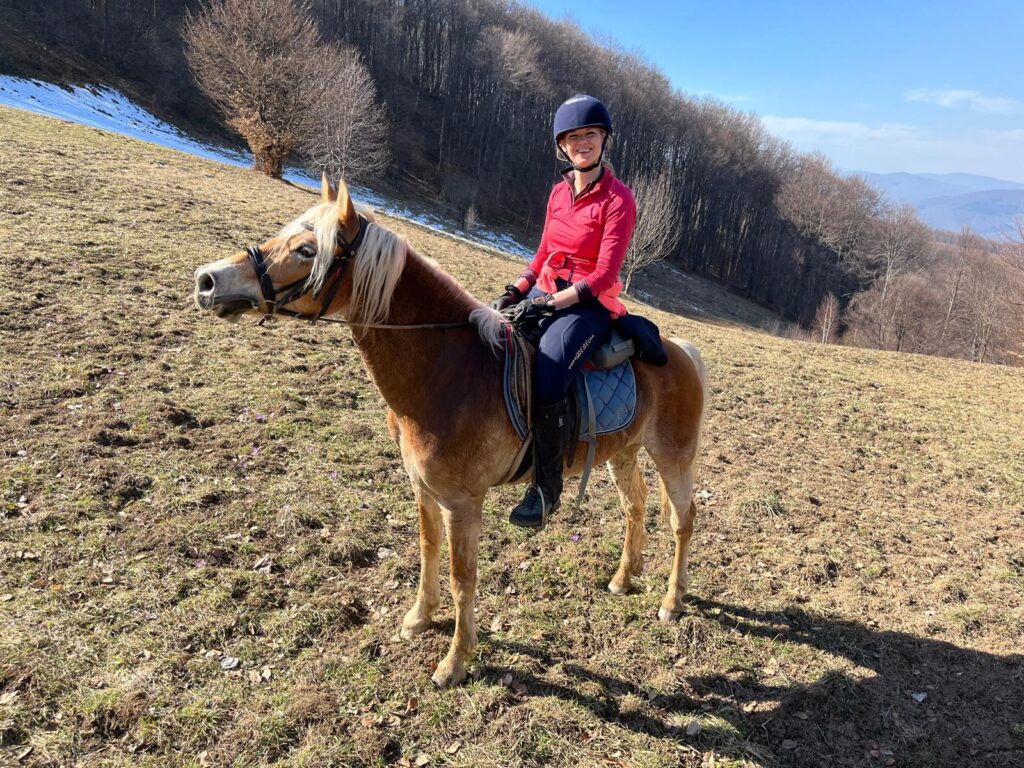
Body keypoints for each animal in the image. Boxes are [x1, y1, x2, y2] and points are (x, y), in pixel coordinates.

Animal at [193, 176, 708, 687]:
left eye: (306, 249)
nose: (207, 280)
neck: (445, 371)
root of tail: (680, 350)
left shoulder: (462, 502)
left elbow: (464, 578)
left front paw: (455, 661)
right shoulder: (423, 488)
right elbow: (428, 550)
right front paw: (419, 618)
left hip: (674, 456)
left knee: (683, 521)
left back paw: (672, 601)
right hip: (623, 451)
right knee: (635, 506)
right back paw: (624, 577)